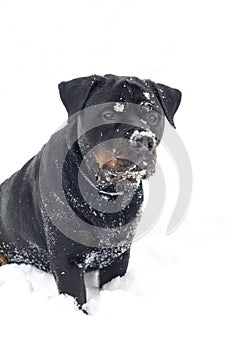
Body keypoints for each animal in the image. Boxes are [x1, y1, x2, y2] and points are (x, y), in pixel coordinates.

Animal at [0, 74, 182, 308]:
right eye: (108, 114)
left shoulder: (118, 252)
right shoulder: (65, 257)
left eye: (152, 116)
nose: (142, 139)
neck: (104, 194)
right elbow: (76, 297)